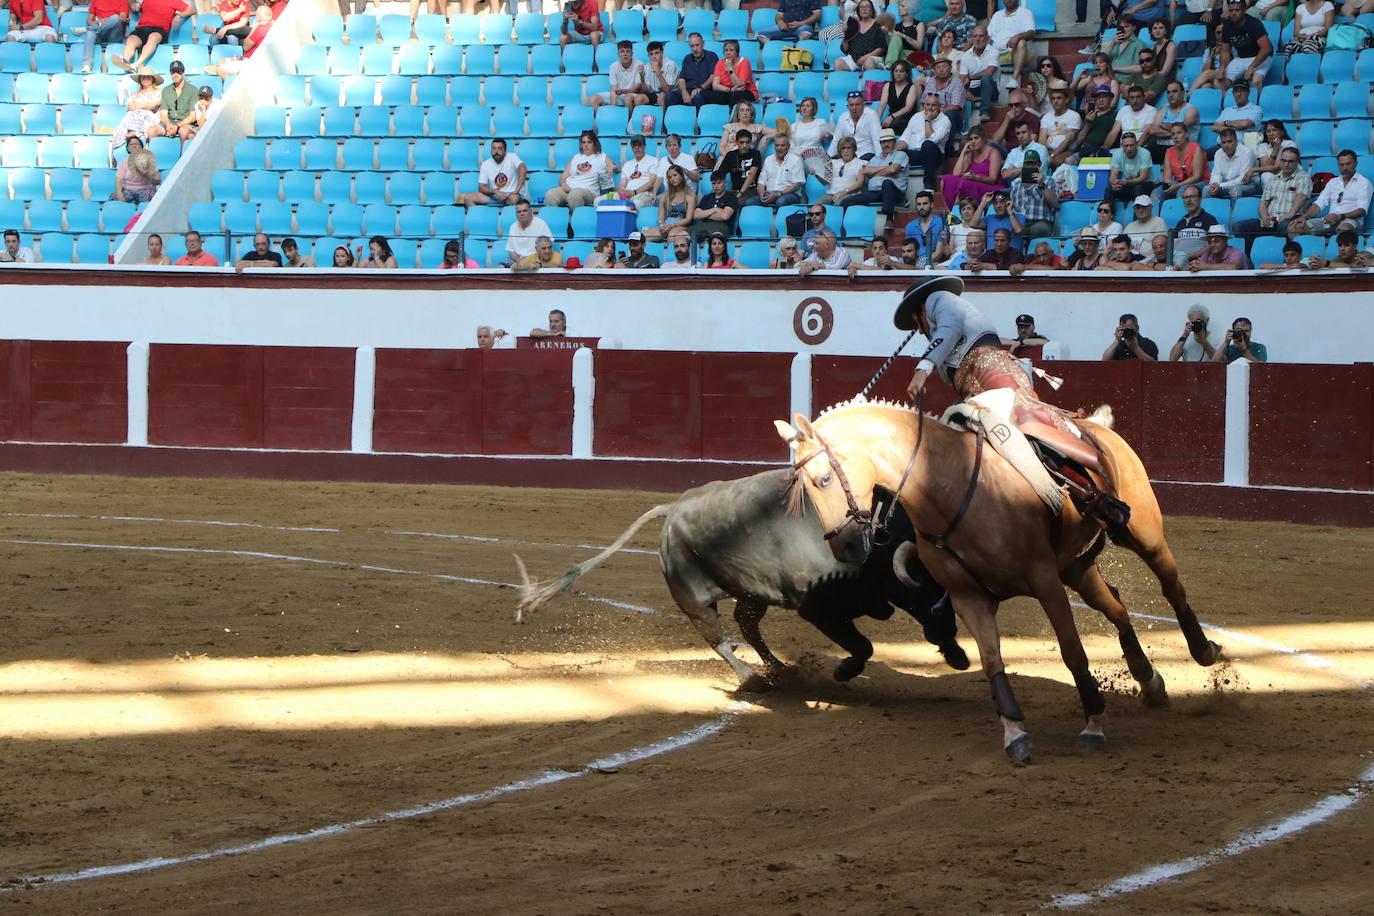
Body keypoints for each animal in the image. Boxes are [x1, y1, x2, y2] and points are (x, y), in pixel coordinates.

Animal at [774, 403, 1225, 769]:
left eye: (825, 479)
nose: (846, 548)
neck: (950, 488)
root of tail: (1093, 426)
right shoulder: (969, 599)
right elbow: (992, 662)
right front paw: (1016, 735)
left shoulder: (1044, 581)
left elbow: (1072, 651)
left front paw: (1093, 723)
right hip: (1075, 566)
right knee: (1115, 606)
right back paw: (1149, 680)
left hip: (1142, 533)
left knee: (1171, 585)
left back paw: (1203, 649)